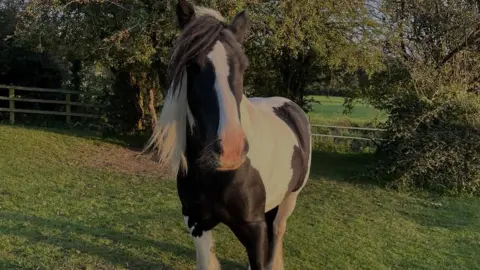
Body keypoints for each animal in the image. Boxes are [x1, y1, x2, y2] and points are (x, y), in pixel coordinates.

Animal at [146, 1, 312, 268]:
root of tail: (289, 106)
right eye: (192, 64)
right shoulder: (196, 222)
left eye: (244, 65)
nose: (230, 149)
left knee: (277, 233)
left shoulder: (254, 228)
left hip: (289, 200)